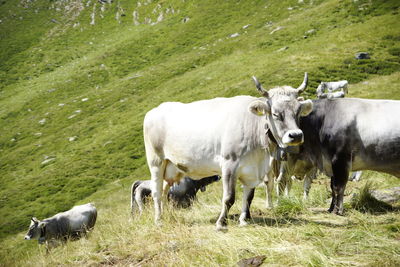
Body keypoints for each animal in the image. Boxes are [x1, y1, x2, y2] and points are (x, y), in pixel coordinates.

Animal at [142, 73, 314, 230]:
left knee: (164, 191)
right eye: (275, 113)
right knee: (156, 192)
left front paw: (243, 220)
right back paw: (158, 220)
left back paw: (166, 215)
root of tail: (154, 111)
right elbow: (229, 198)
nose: (296, 135)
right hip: (156, 162)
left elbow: (249, 197)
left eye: (298, 111)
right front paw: (221, 223)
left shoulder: (252, 171)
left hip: (171, 167)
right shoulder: (229, 165)